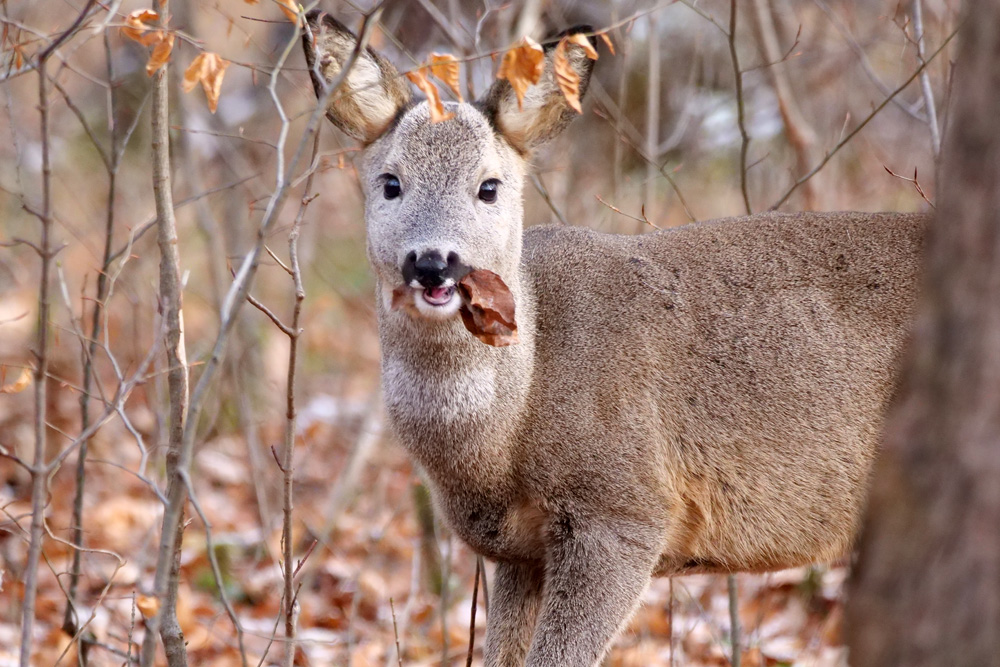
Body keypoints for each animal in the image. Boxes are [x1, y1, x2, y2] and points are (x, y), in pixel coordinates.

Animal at [300, 11, 924, 667]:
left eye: (489, 186)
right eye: (390, 183)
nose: (432, 262)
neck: (510, 427)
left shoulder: (625, 508)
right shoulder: (521, 552)